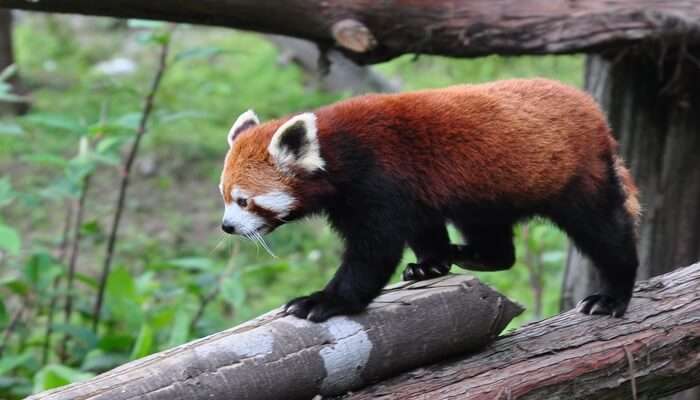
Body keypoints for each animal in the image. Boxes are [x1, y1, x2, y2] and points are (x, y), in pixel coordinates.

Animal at [219, 77, 640, 322]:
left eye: (243, 201)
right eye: (225, 197)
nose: (227, 226)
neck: (339, 150)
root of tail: (592, 108)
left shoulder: (380, 180)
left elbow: (373, 253)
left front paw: (324, 300)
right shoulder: (411, 192)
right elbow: (422, 228)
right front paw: (430, 265)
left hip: (577, 176)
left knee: (604, 231)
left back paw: (612, 295)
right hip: (485, 189)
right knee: (492, 235)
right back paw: (474, 255)